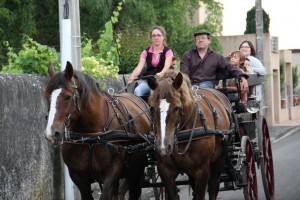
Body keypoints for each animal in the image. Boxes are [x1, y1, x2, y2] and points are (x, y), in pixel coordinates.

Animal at [44, 61, 152, 199]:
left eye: (67, 97)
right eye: (47, 96)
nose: (52, 134)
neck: (90, 136)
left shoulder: (112, 173)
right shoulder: (78, 177)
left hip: (135, 170)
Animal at [148, 70, 232, 200]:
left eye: (177, 107)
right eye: (152, 108)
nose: (162, 148)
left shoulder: (202, 170)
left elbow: (200, 195)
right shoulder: (165, 170)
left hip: (220, 158)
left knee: (214, 186)